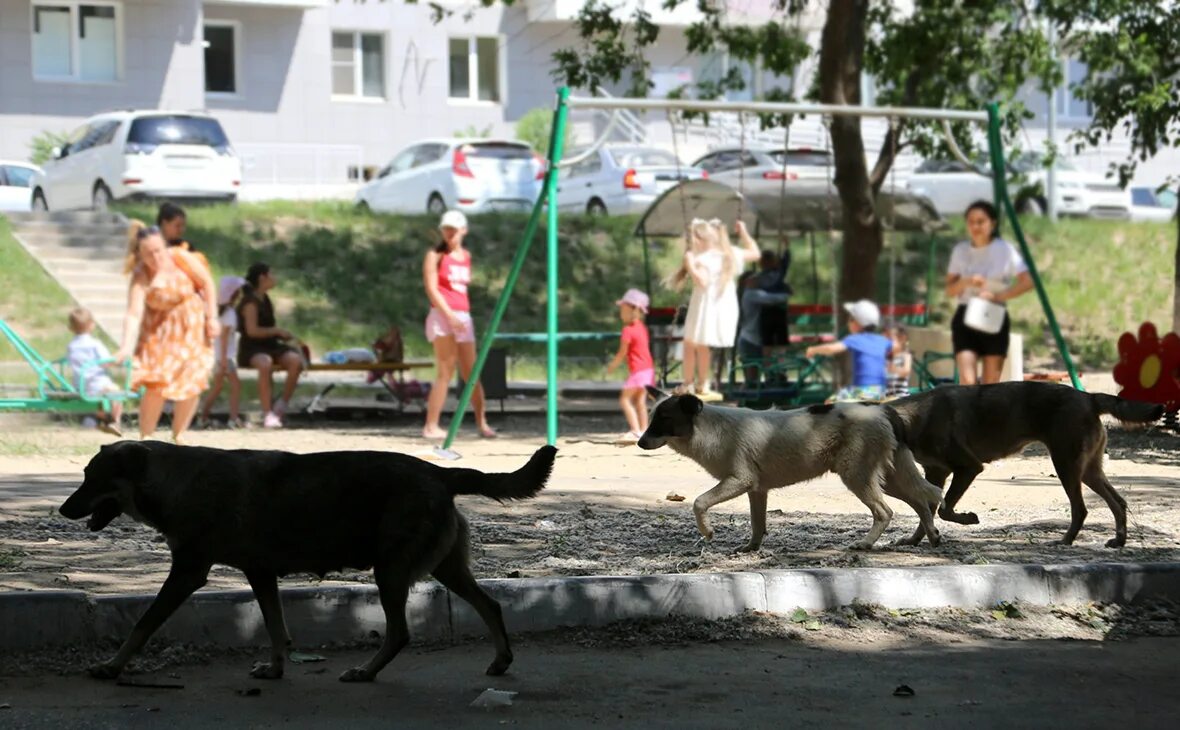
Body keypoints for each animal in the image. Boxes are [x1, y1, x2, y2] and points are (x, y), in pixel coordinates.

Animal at [637, 391, 939, 551]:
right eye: (651, 418)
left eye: (664, 419)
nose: (639, 443)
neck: (708, 429)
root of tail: (883, 409)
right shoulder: (756, 490)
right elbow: (757, 524)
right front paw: (751, 549)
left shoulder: (739, 480)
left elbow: (699, 502)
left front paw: (708, 532)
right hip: (887, 479)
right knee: (923, 500)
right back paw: (931, 537)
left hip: (857, 475)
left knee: (885, 511)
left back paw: (865, 544)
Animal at [892, 382, 1161, 547]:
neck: (913, 418)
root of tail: (1089, 397)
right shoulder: (935, 474)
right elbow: (926, 514)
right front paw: (916, 540)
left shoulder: (968, 468)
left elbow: (944, 510)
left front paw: (967, 519)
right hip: (1088, 471)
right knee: (1118, 502)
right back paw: (1119, 541)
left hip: (1066, 465)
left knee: (1080, 509)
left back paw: (1065, 541)